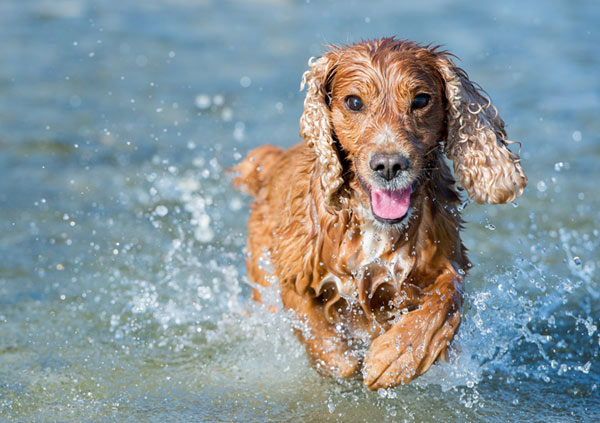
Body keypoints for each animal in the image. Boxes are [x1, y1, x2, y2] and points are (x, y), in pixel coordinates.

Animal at [232, 38, 528, 390]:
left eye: (421, 99)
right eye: (354, 102)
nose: (388, 165)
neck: (374, 227)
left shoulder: (445, 259)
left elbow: (447, 295)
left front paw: (396, 355)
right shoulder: (295, 270)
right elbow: (317, 331)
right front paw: (344, 361)